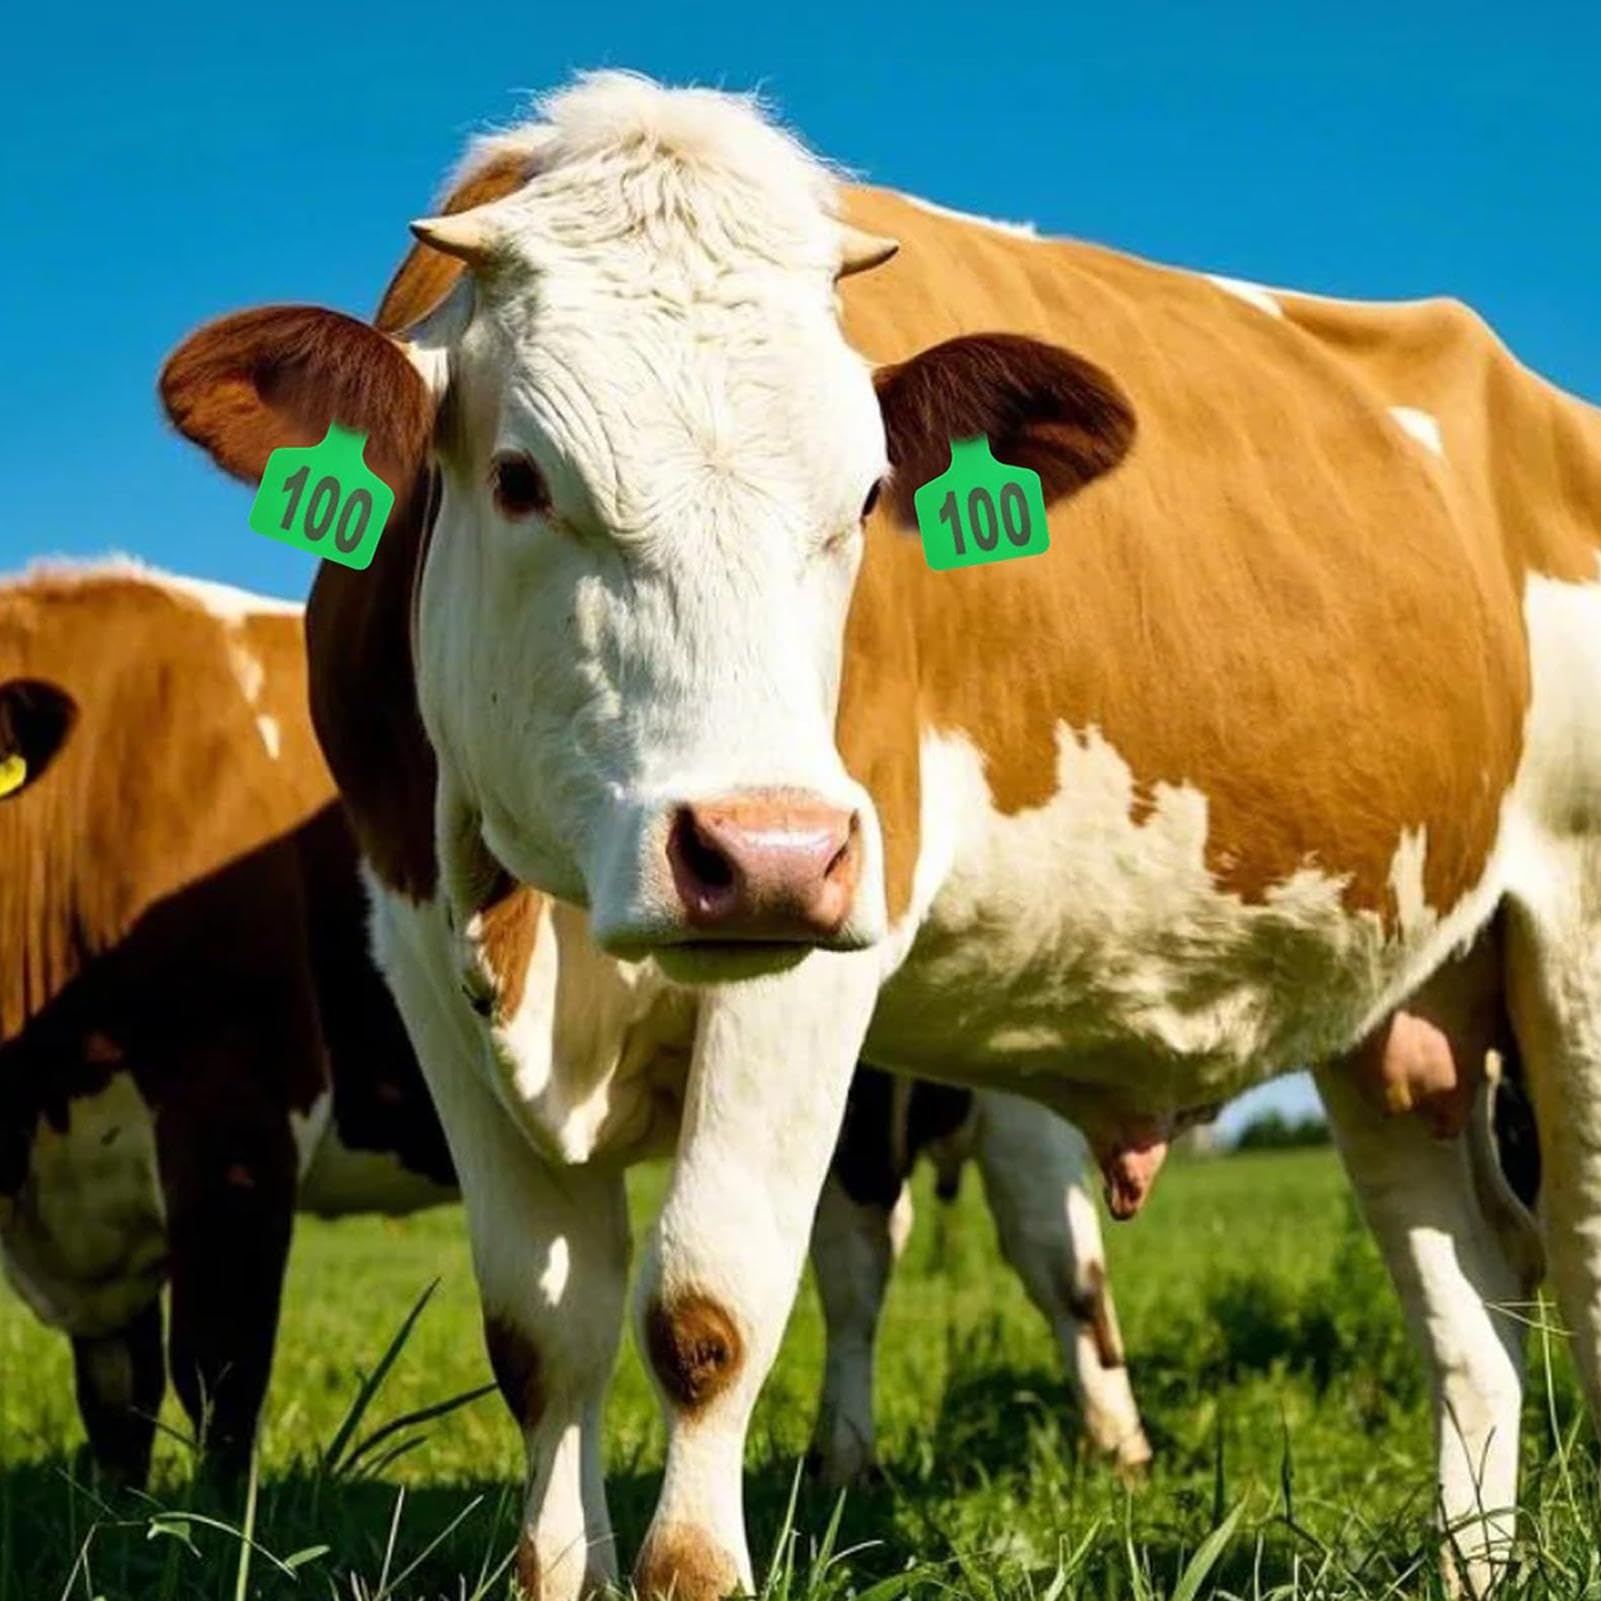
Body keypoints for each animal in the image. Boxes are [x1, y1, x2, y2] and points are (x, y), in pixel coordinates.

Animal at [159, 70, 1589, 1598]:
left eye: (862, 496)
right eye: (520, 476)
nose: (760, 852)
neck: (550, 925)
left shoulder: (826, 935)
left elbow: (706, 1309)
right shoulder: (417, 941)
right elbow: (540, 1336)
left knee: (1569, 1246)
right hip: (1404, 1005)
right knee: (1474, 1290)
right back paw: (1474, 1557)